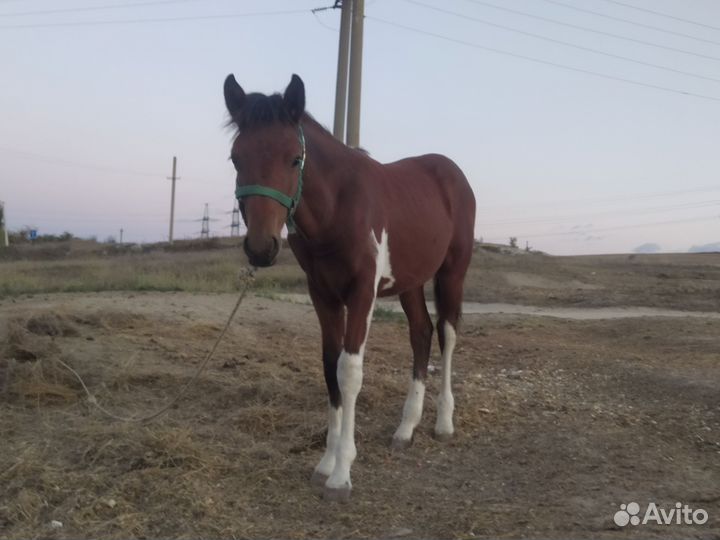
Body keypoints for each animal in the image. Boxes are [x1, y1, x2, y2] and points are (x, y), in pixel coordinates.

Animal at [223, 73, 476, 502]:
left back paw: (443, 423)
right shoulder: (322, 294)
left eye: (294, 158)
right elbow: (330, 366)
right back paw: (405, 428)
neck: (337, 209)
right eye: (235, 159)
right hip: (410, 280)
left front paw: (342, 474)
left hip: (451, 273)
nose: (260, 248)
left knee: (447, 334)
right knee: (421, 333)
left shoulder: (362, 292)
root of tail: (452, 172)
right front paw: (326, 463)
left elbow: (350, 371)